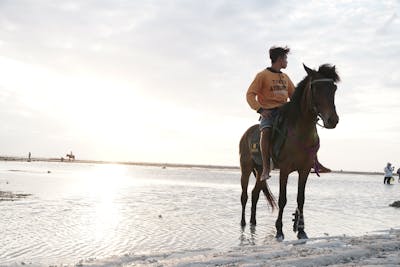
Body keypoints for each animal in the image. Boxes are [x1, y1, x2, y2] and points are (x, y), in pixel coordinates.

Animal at [239, 64, 340, 241]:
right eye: (316, 88)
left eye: (333, 88)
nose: (332, 120)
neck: (300, 131)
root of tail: (246, 133)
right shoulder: (285, 169)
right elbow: (282, 199)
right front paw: (279, 230)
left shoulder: (304, 170)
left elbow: (301, 199)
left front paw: (301, 230)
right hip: (245, 168)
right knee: (244, 195)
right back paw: (244, 223)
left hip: (260, 171)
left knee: (255, 193)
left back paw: (253, 221)